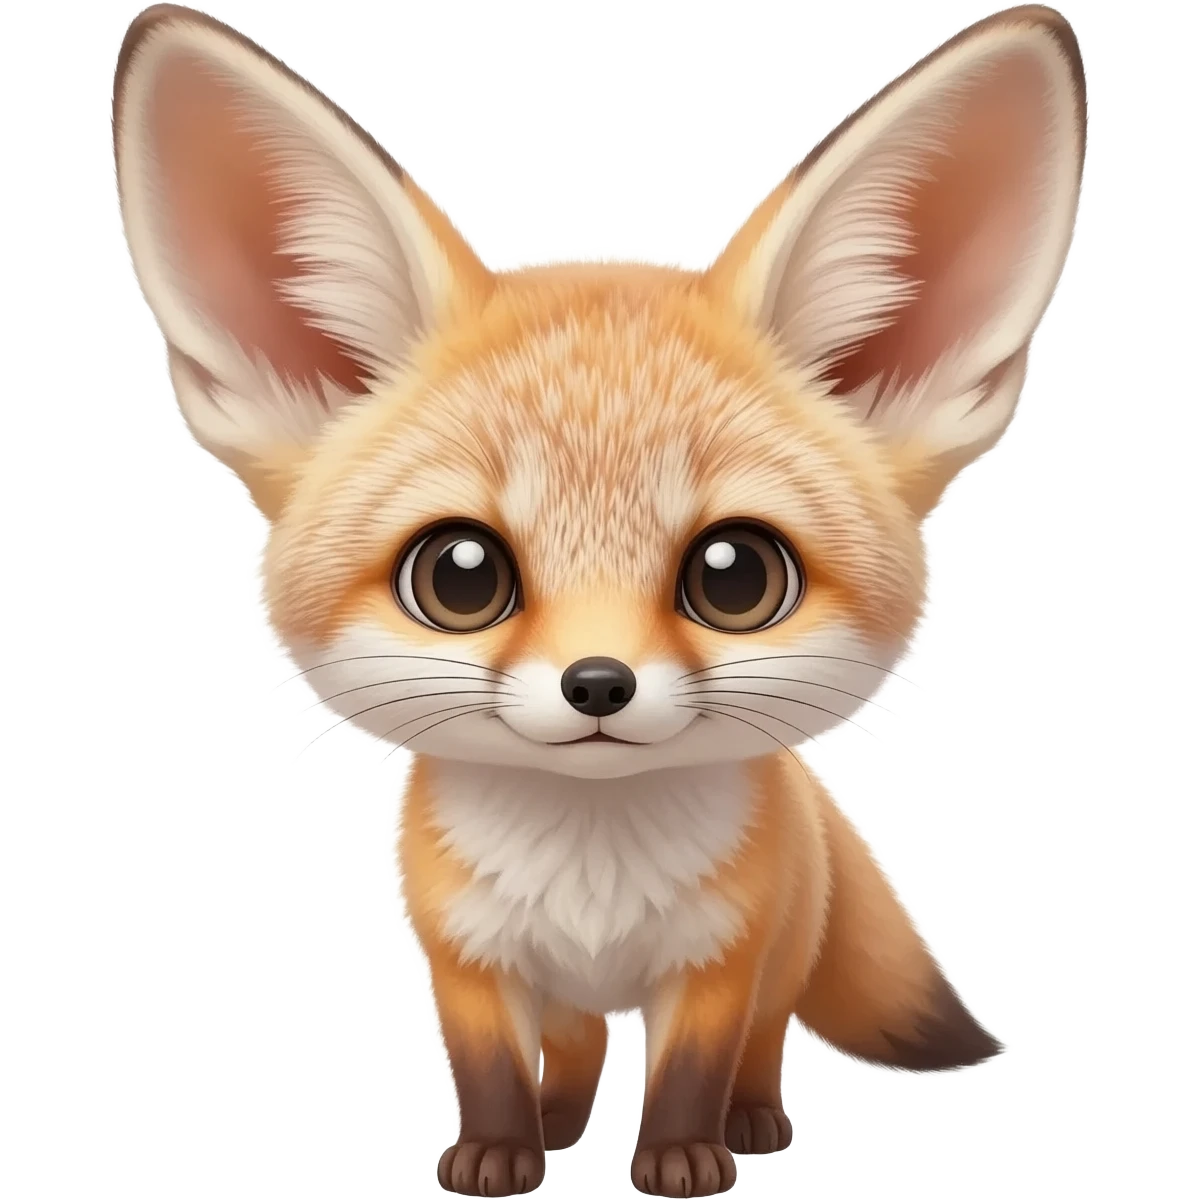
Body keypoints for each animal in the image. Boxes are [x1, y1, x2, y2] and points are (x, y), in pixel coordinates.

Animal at [111, 3, 1086, 1196]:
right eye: (460, 575)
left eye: (736, 576)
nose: (598, 684)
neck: (592, 880)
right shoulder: (465, 955)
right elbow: (488, 1066)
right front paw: (499, 1151)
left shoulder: (721, 962)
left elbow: (690, 1067)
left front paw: (680, 1155)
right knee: (575, 1045)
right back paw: (562, 1120)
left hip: (778, 961)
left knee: (761, 1046)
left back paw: (750, 1121)